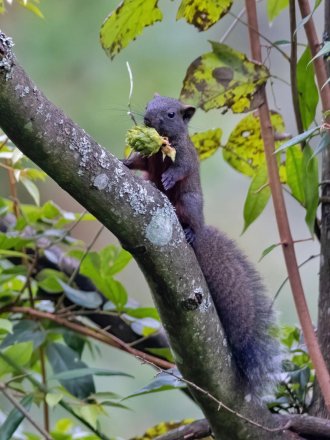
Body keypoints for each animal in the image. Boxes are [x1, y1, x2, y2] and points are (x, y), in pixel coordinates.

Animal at [122, 94, 280, 394]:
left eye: (171, 114)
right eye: (148, 105)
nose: (147, 119)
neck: (165, 144)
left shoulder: (186, 156)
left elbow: (181, 168)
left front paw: (169, 176)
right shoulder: (148, 162)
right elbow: (140, 163)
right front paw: (125, 162)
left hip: (190, 203)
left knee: (192, 221)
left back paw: (191, 232)